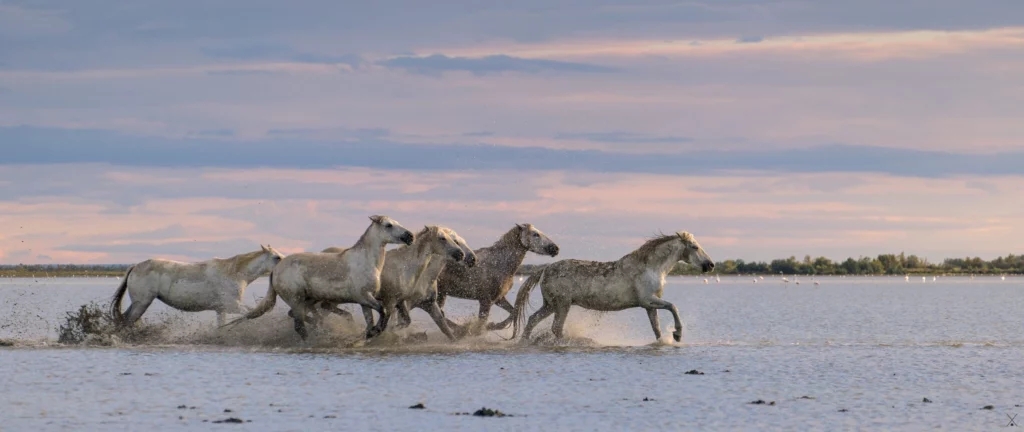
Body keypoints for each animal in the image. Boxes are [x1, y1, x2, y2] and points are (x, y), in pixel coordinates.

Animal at [110, 245, 285, 327]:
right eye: (276, 257)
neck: (234, 273)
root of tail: (135, 266)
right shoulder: (232, 306)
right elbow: (251, 312)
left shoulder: (221, 309)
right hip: (142, 303)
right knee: (128, 320)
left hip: (139, 303)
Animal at [224, 215, 414, 340]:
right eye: (389, 225)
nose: (410, 236)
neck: (365, 261)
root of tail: (276, 268)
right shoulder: (364, 297)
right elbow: (384, 310)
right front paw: (377, 331)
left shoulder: (364, 300)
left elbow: (371, 318)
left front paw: (370, 333)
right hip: (296, 299)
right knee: (299, 326)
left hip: (307, 300)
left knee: (299, 318)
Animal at [511, 231, 714, 343]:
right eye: (695, 247)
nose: (710, 265)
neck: (651, 267)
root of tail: (545, 269)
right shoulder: (648, 300)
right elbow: (673, 306)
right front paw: (677, 334)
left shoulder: (649, 306)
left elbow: (656, 328)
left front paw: (664, 341)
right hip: (562, 304)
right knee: (556, 328)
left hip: (550, 305)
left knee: (532, 320)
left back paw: (524, 342)